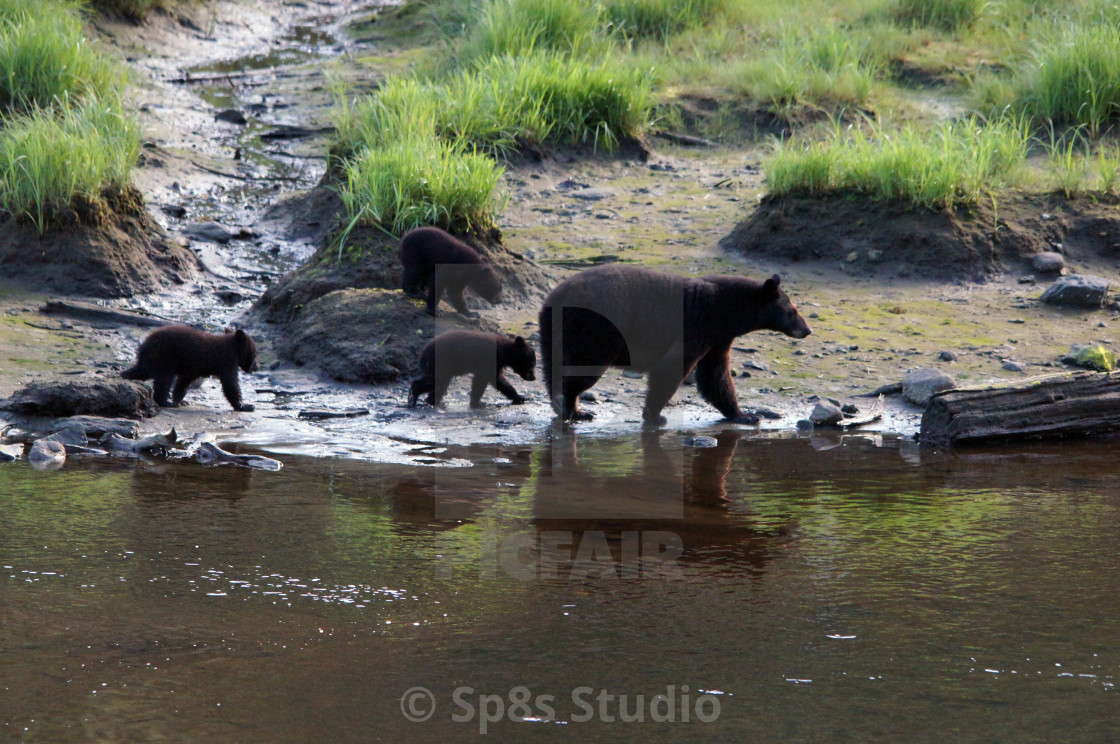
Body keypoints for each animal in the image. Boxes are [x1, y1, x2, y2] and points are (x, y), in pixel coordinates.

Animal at [122, 324, 259, 412]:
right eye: (255, 353)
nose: (257, 367)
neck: (234, 349)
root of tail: (145, 344)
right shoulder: (226, 361)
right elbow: (230, 383)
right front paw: (245, 406)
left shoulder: (193, 368)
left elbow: (184, 382)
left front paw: (180, 400)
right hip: (166, 357)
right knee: (164, 379)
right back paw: (166, 402)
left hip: (153, 359)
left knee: (142, 370)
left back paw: (124, 375)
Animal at [537, 263, 810, 423]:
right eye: (793, 310)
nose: (807, 330)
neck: (726, 310)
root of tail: (555, 297)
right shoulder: (696, 324)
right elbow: (672, 367)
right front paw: (654, 414)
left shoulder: (718, 339)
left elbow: (715, 376)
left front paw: (745, 415)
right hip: (597, 328)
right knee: (583, 368)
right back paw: (571, 406)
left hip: (553, 330)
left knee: (553, 366)